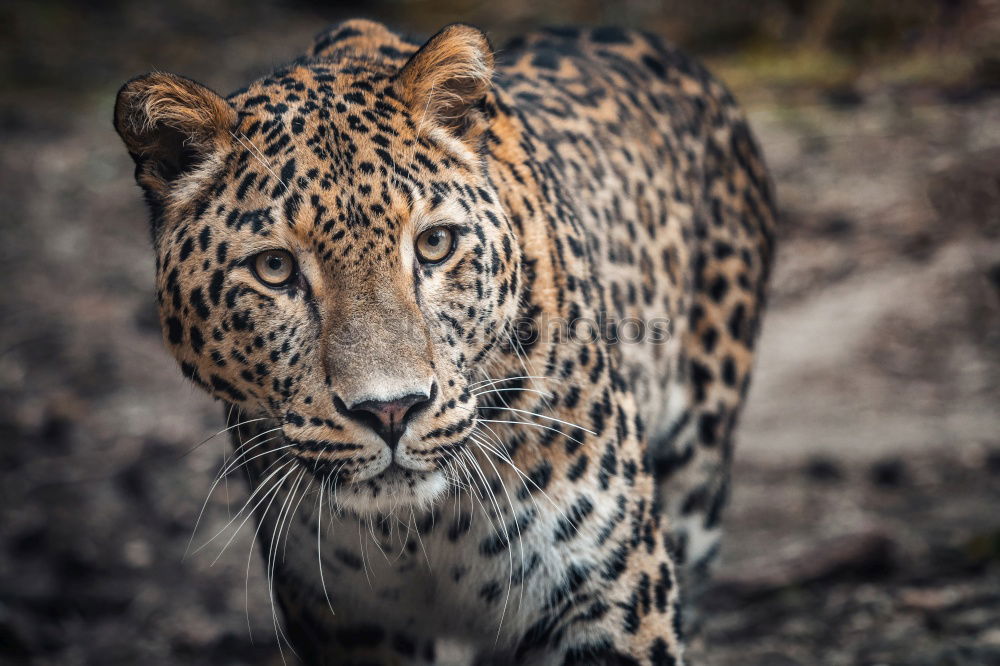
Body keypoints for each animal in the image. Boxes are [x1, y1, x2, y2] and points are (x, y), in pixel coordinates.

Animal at [113, 18, 776, 660]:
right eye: (274, 268)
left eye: (434, 244)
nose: (391, 410)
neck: (416, 532)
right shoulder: (349, 626)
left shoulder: (608, 595)